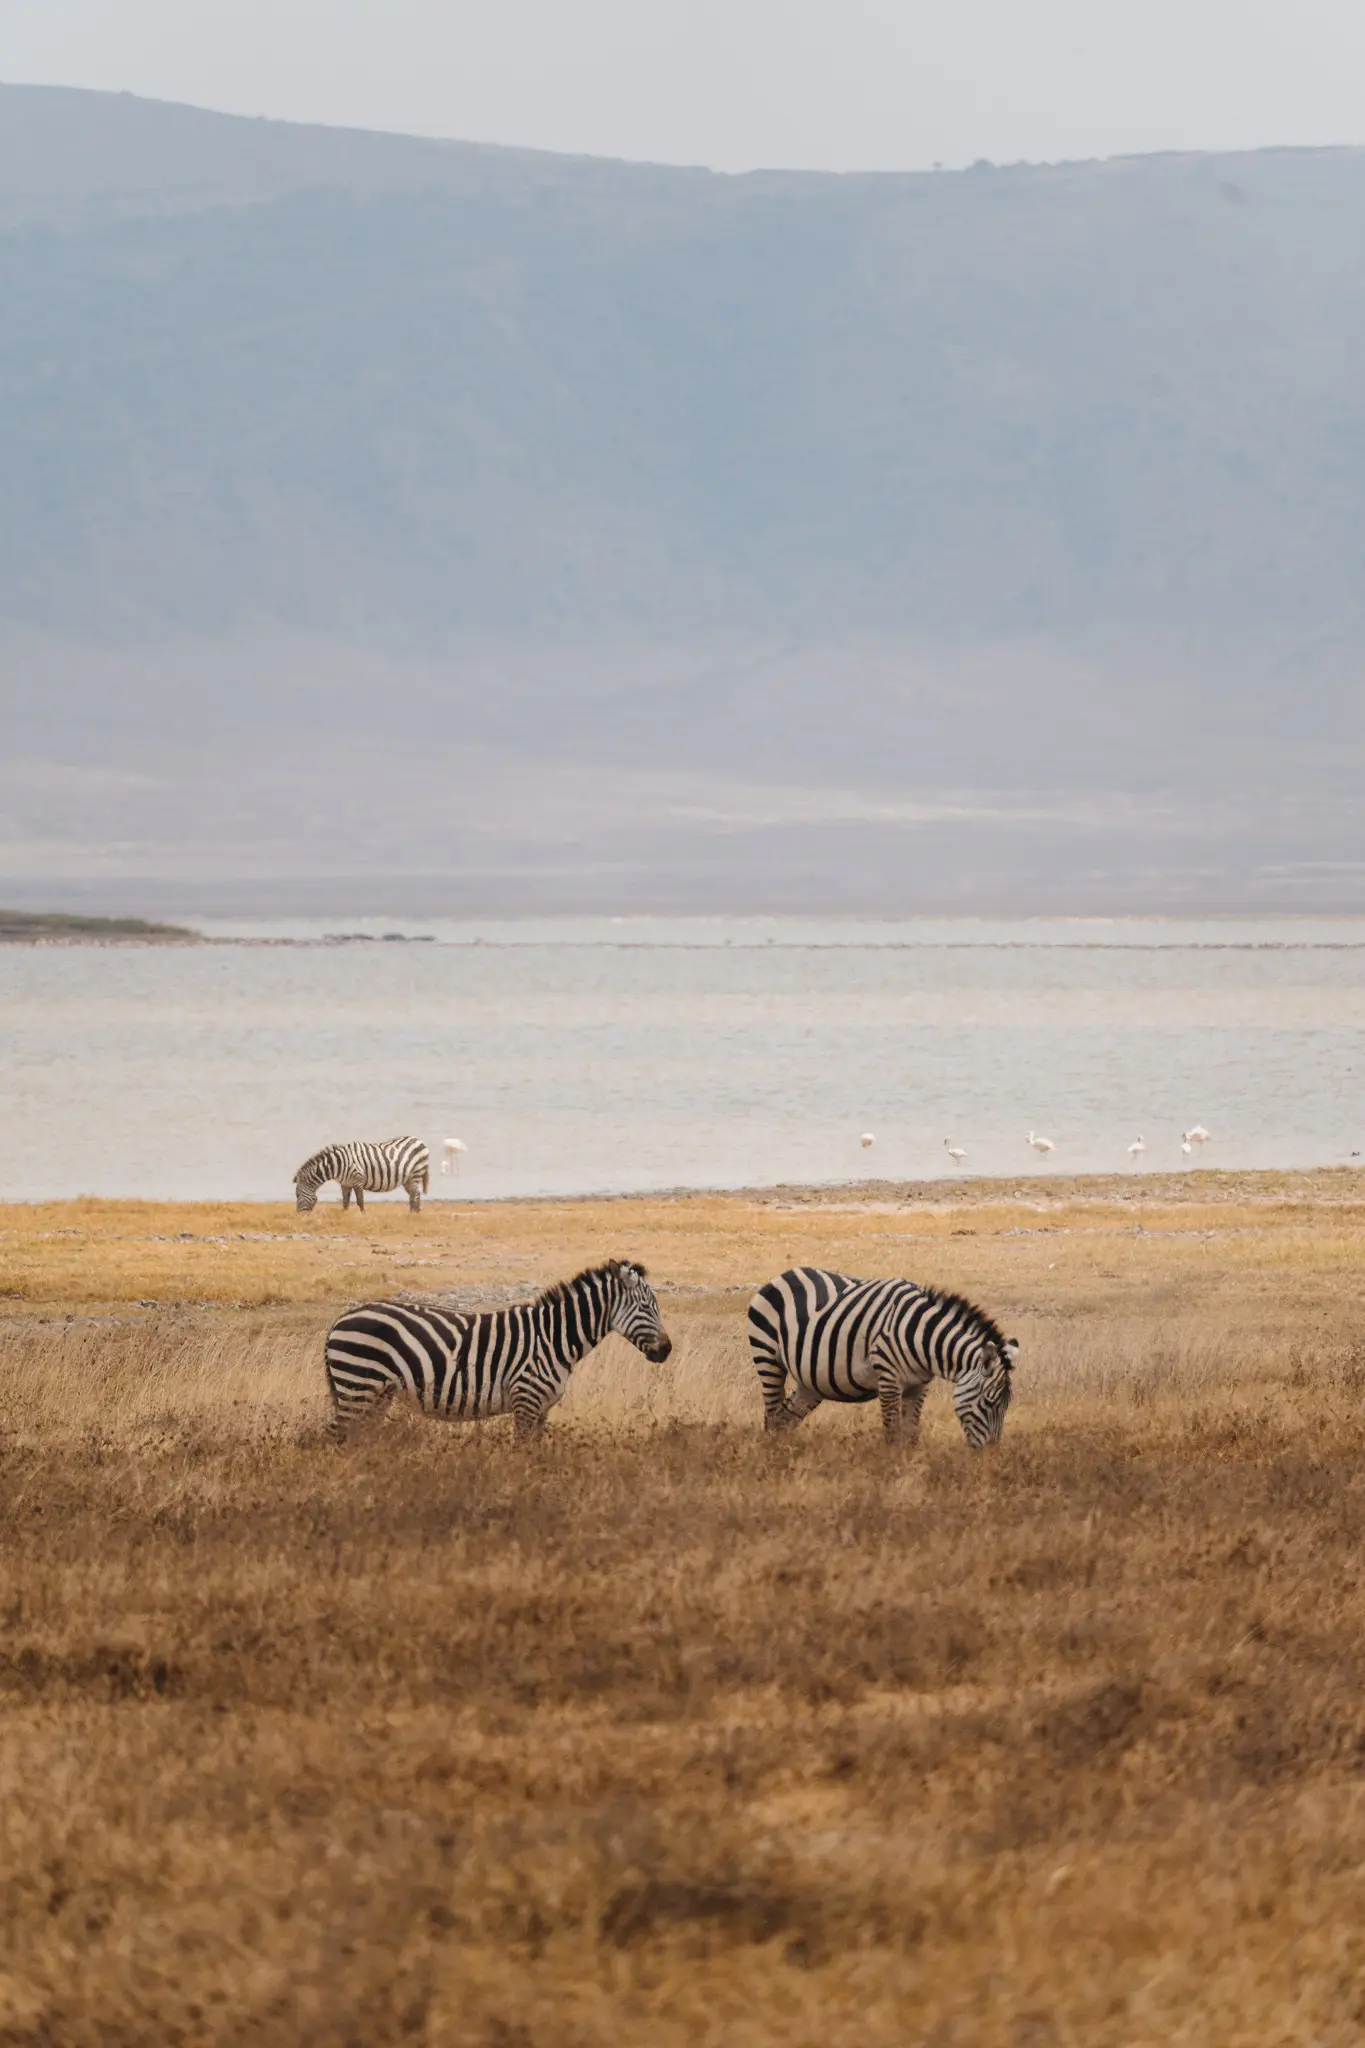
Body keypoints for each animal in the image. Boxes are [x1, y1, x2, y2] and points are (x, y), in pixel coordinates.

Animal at [294, 1137, 430, 1214]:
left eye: (297, 1195)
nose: (299, 1216)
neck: (338, 1164)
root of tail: (418, 1140)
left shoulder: (357, 1180)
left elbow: (360, 1200)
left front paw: (363, 1215)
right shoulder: (345, 1183)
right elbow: (345, 1201)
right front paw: (344, 1214)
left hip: (416, 1174)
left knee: (415, 1195)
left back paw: (413, 1215)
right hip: (408, 1179)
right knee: (414, 1195)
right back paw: (413, 1213)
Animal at [323, 1258, 671, 1441]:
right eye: (646, 1307)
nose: (667, 1351)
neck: (553, 1338)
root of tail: (339, 1320)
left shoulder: (542, 1409)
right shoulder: (526, 1400)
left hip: (376, 1393)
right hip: (357, 1386)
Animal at [748, 1266, 1019, 1446]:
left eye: (1006, 1406)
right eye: (988, 1403)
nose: (989, 1457)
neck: (922, 1337)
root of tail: (784, 1274)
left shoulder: (919, 1385)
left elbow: (911, 1432)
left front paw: (910, 1468)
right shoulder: (888, 1378)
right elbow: (892, 1432)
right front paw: (888, 1472)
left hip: (812, 1381)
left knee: (784, 1417)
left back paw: (786, 1452)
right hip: (768, 1358)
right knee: (771, 1414)